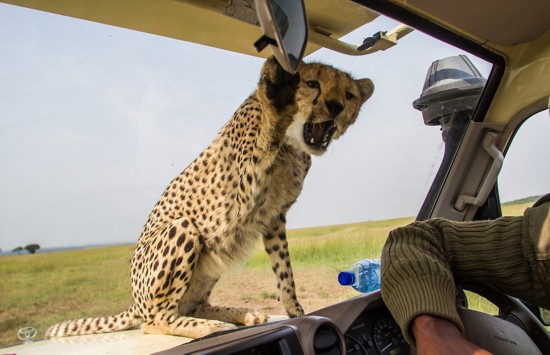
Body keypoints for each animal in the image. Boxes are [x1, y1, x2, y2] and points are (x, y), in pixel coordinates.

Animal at [46, 57, 376, 340]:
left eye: (348, 95)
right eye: (311, 84)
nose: (334, 106)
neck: (293, 144)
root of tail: (134, 303)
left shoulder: (273, 216)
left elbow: (284, 269)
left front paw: (296, 311)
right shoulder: (238, 202)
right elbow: (265, 135)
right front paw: (275, 95)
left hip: (212, 260)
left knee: (193, 304)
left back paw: (241, 314)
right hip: (182, 230)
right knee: (155, 320)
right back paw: (208, 326)